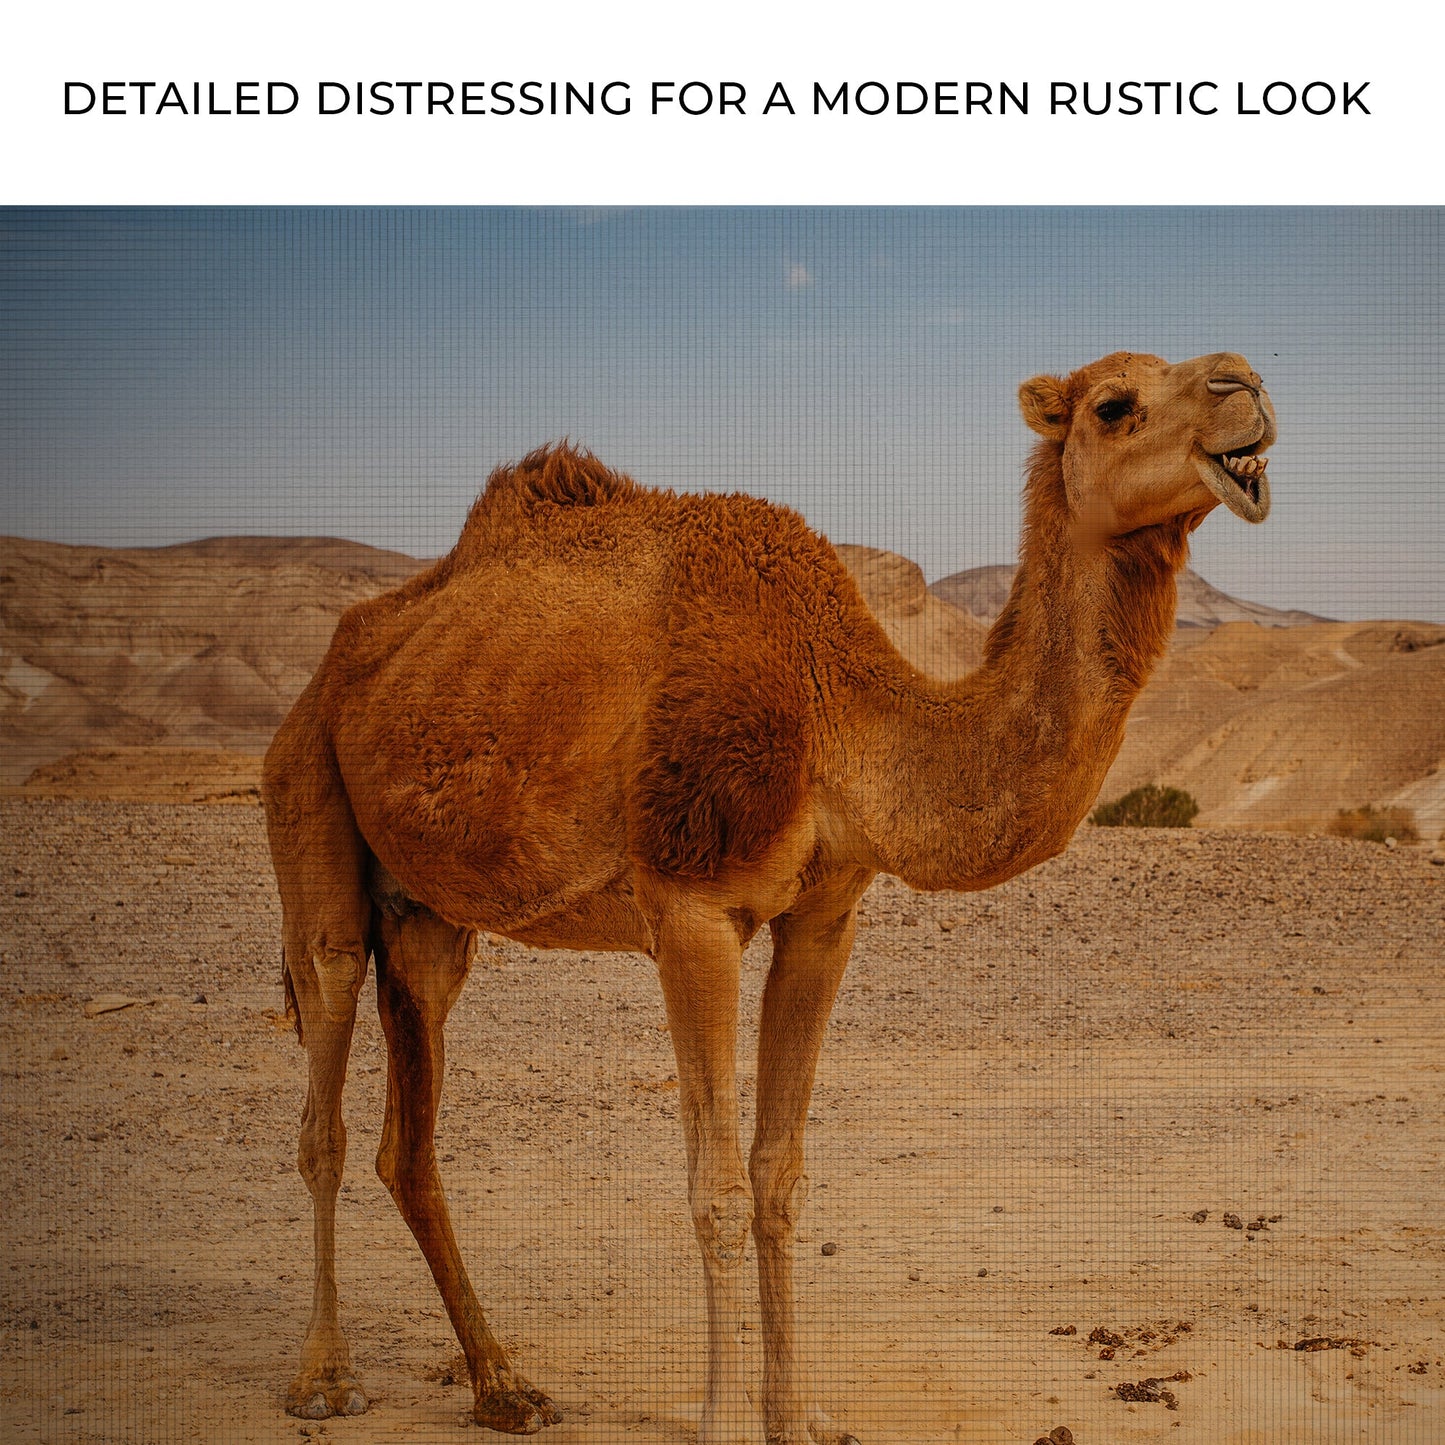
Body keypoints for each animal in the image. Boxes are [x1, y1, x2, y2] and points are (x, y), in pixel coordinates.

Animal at [261, 350, 1275, 1442]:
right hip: (308, 792)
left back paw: (503, 1384)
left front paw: (792, 1414)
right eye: (1112, 405)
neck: (837, 715)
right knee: (323, 1093)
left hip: (429, 917)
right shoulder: (690, 908)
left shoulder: (824, 916)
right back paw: (323, 1377)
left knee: (409, 1136)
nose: (1243, 384)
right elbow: (711, 1183)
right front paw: (719, 1420)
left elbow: (776, 1172)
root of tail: (338, 662)